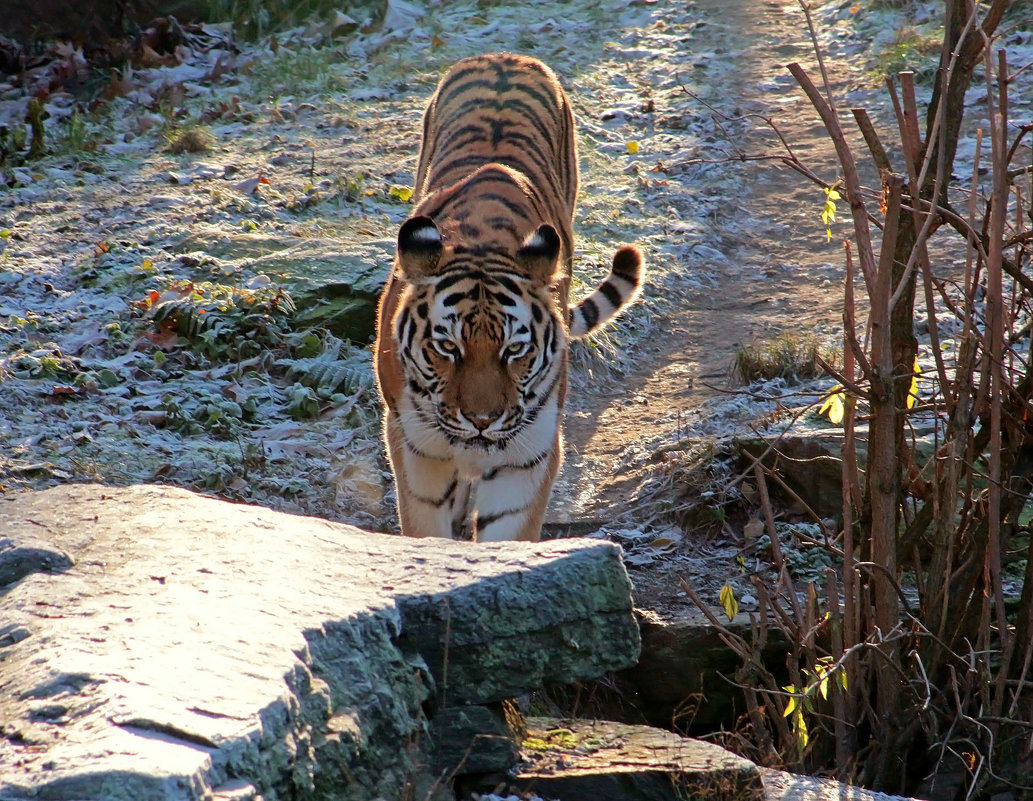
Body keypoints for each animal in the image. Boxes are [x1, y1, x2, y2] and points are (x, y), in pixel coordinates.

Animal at [371, 51, 644, 545]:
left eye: (515, 350)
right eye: (447, 348)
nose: (482, 421)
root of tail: (504, 56)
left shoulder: (528, 454)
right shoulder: (415, 446)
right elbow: (426, 528)